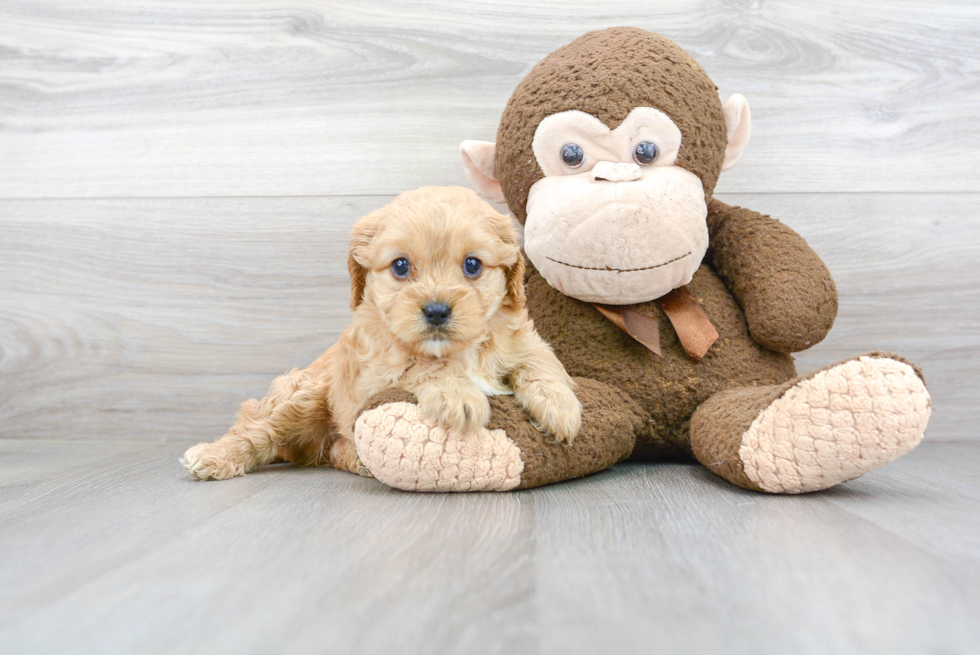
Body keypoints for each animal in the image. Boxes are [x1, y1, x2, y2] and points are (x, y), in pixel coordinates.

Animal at [182, 187, 580, 480]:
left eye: (472, 265)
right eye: (400, 266)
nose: (436, 310)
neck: (458, 351)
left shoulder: (521, 337)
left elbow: (540, 360)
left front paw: (559, 407)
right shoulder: (377, 370)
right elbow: (423, 365)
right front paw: (458, 396)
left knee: (335, 450)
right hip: (300, 392)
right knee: (257, 427)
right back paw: (214, 455)